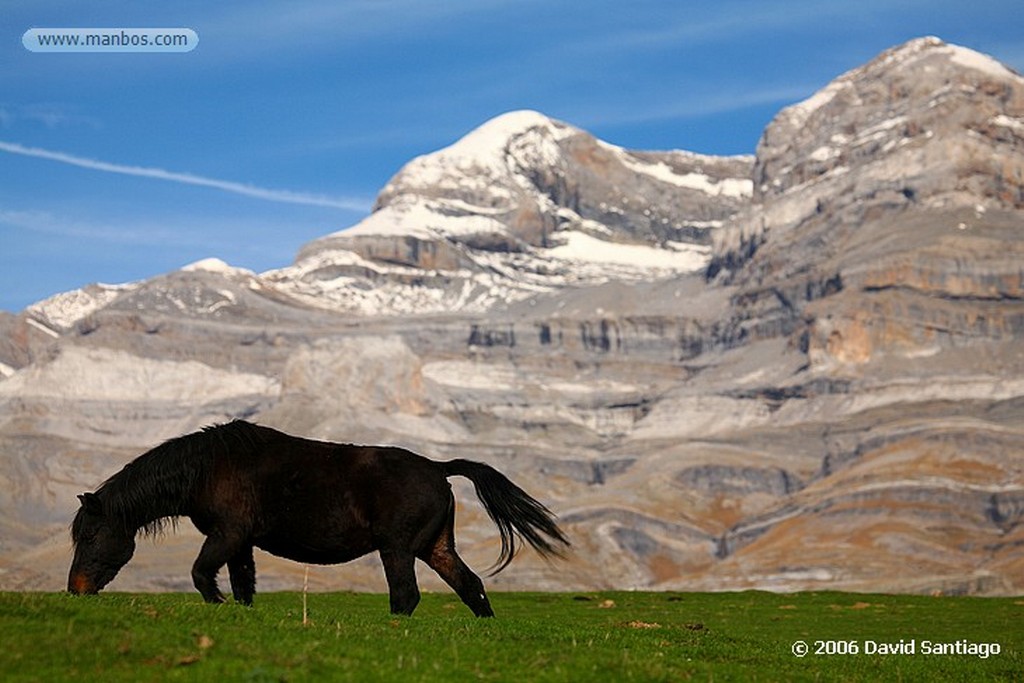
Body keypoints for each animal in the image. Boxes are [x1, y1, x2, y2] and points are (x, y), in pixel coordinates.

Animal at [67, 419, 569, 618]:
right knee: (470, 586)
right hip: (435, 548)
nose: (75, 590)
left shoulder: (227, 534)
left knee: (405, 596)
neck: (208, 467)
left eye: (89, 535)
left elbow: (201, 574)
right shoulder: (240, 542)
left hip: (398, 550)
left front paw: (217, 604)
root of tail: (438, 467)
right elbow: (243, 585)